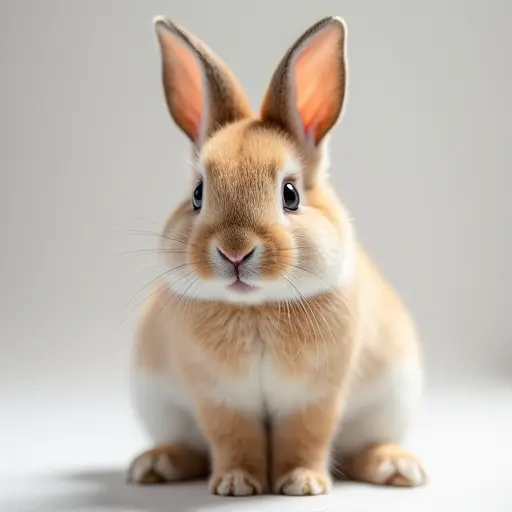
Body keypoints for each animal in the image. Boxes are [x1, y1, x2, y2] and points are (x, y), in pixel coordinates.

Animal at [126, 16, 426, 496]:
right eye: (197, 194)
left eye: (290, 194)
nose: (234, 250)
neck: (255, 308)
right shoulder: (219, 398)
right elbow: (233, 439)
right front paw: (235, 483)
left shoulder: (316, 397)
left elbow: (305, 438)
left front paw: (302, 483)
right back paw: (155, 465)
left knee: (362, 450)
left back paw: (398, 468)